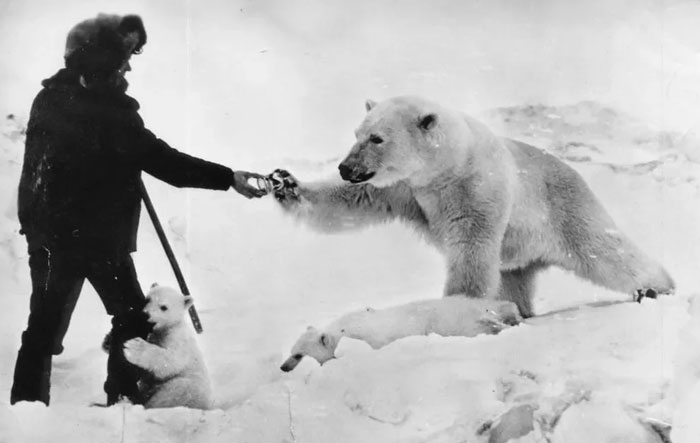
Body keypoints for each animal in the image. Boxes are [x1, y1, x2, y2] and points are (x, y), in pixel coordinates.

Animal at [273, 95, 674, 318]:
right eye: (357, 133)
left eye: (377, 138)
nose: (346, 167)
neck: (445, 168)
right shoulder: (405, 189)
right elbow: (353, 200)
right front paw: (285, 183)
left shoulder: (476, 188)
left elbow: (472, 247)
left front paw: (456, 306)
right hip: (519, 251)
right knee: (513, 278)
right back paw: (522, 311)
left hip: (564, 208)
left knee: (603, 251)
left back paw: (657, 288)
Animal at [280, 297, 521, 372]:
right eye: (291, 351)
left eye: (298, 355)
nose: (282, 367)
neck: (342, 332)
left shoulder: (372, 339)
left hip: (453, 321)